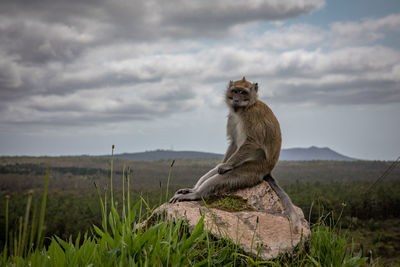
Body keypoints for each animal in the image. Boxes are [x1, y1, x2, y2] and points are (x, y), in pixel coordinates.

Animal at [170, 77, 302, 232]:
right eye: (235, 91)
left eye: (243, 92)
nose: (236, 99)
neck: (244, 109)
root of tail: (268, 171)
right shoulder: (232, 118)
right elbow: (233, 142)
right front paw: (224, 163)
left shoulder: (252, 116)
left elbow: (252, 143)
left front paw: (226, 166)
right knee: (214, 171)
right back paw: (193, 189)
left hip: (253, 170)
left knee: (225, 176)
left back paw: (196, 194)